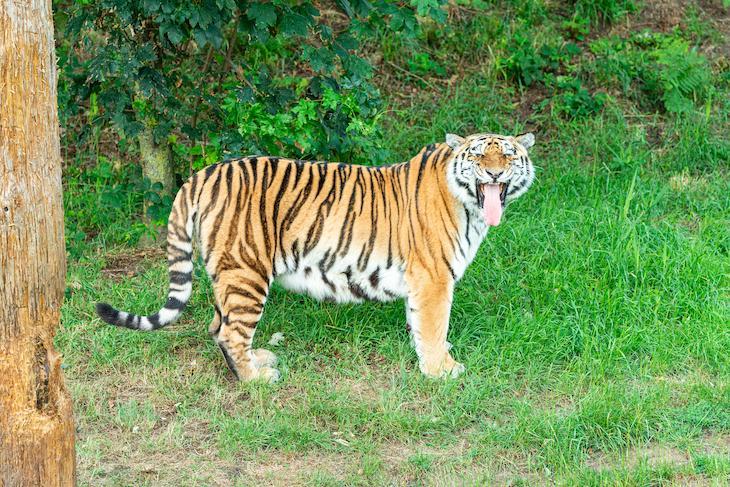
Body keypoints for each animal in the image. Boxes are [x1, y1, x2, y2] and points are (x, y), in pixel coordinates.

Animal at [96, 132, 536, 382]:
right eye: (479, 157)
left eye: (508, 156)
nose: (494, 174)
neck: (471, 207)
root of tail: (201, 175)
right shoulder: (434, 279)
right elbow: (434, 328)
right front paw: (441, 373)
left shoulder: (423, 283)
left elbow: (421, 327)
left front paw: (434, 363)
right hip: (246, 271)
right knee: (229, 331)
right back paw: (256, 379)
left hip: (228, 273)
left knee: (216, 326)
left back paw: (257, 363)